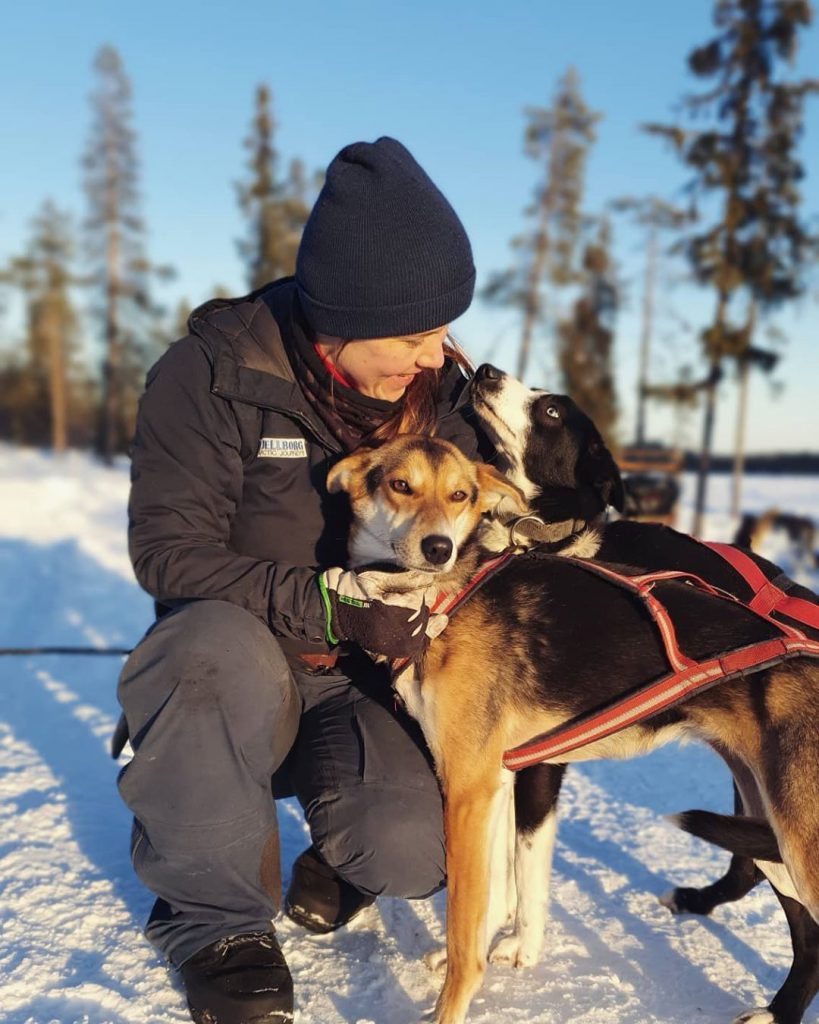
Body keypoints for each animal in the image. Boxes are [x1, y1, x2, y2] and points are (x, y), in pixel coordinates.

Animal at [329, 403, 818, 1024]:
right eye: (400, 485)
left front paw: (454, 1001)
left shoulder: (468, 789)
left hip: (799, 840)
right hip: (769, 826)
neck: (439, 600)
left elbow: (470, 928)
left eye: (460, 495)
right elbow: (498, 891)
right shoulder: (496, 781)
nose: (438, 547)